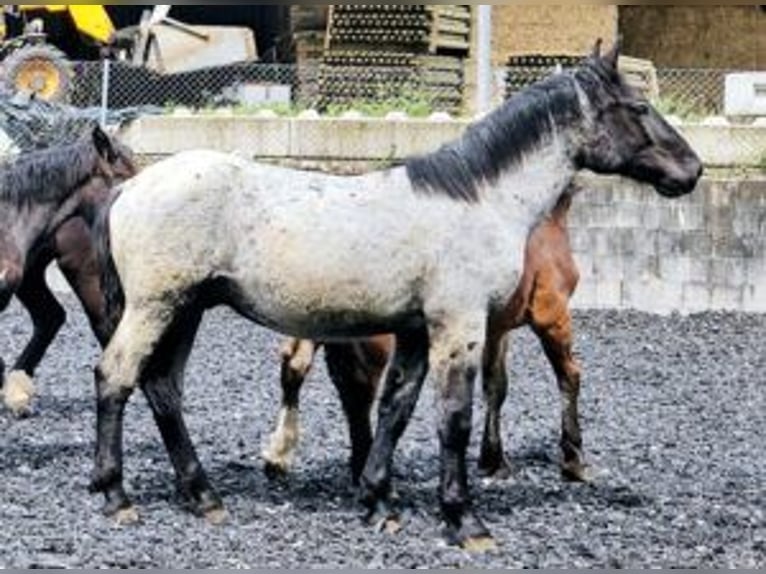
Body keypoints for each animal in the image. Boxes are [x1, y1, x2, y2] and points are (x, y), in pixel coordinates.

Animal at [264, 194, 584, 486]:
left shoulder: (496, 328)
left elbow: (495, 385)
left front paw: (493, 460)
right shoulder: (551, 314)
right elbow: (569, 375)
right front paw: (574, 460)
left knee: (300, 364)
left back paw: (281, 457)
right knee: (358, 387)